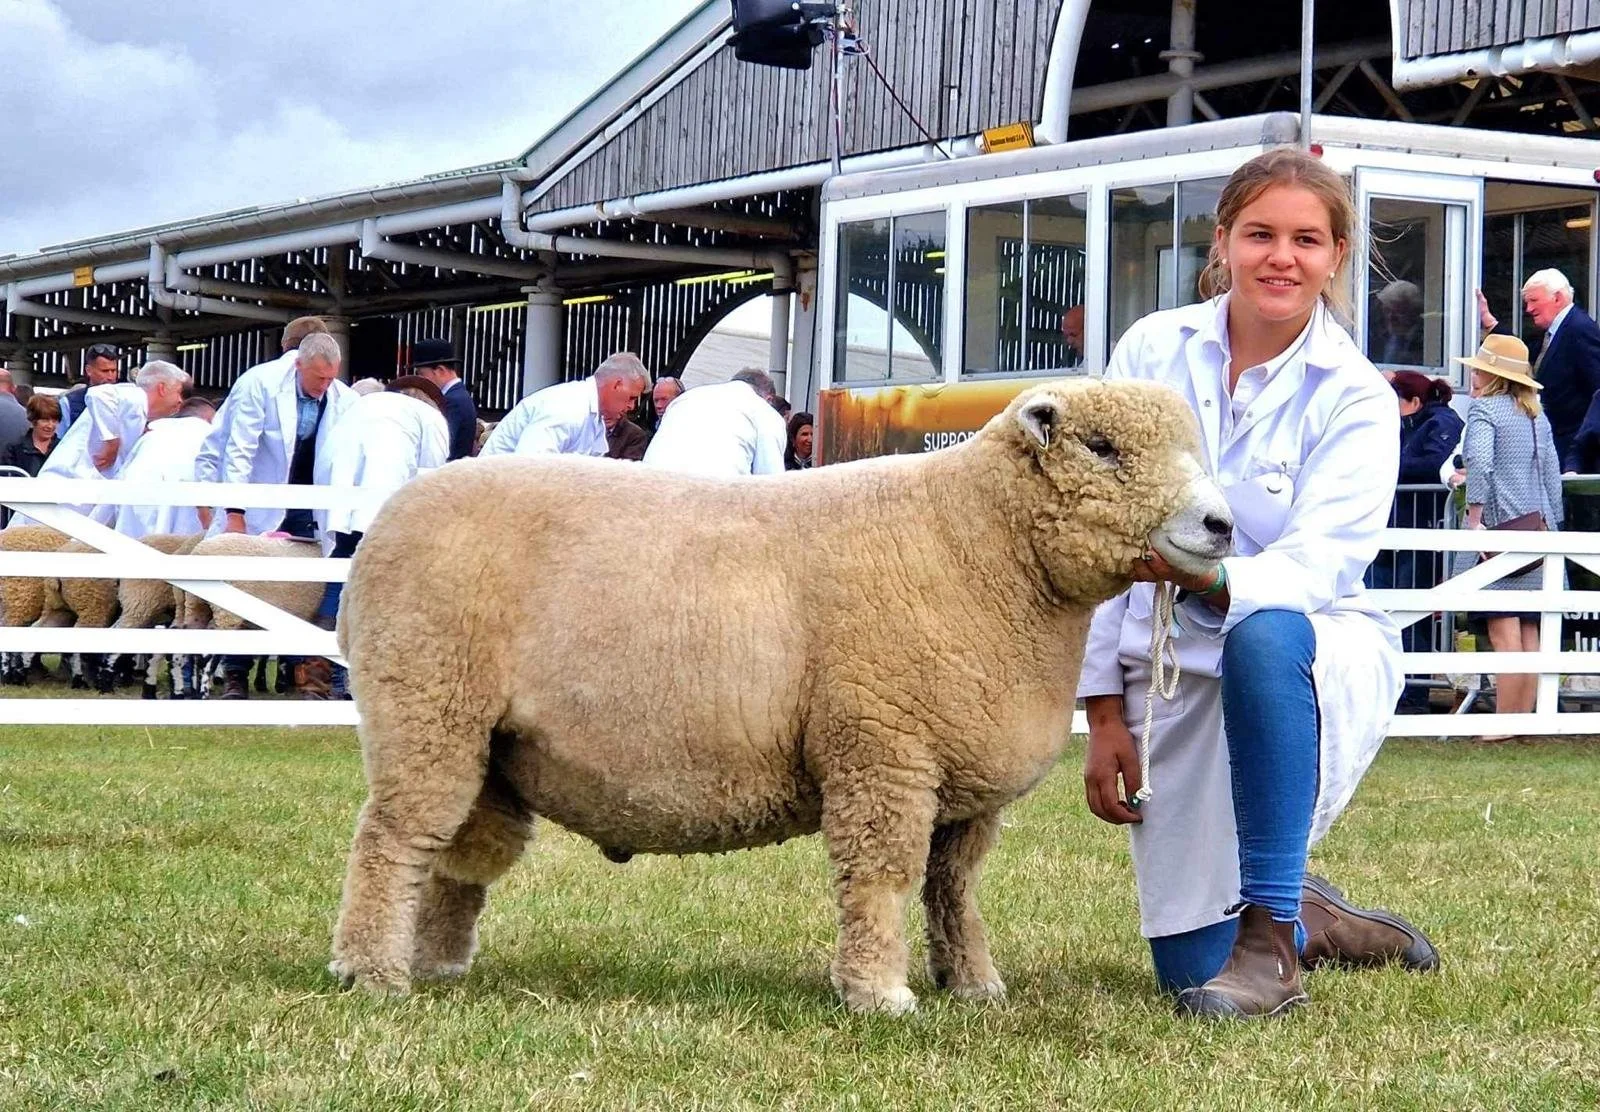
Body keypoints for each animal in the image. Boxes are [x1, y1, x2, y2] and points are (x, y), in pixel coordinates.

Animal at [329, 379, 1234, 1014]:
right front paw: (879, 993)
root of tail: (392, 514)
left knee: (458, 854)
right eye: (1102, 447)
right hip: (425, 702)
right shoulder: (882, 748)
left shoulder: (963, 781)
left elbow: (954, 890)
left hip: (489, 743)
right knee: (392, 840)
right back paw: (373, 972)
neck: (976, 542)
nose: (1221, 525)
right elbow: (883, 876)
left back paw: (437, 964)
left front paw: (973, 984)